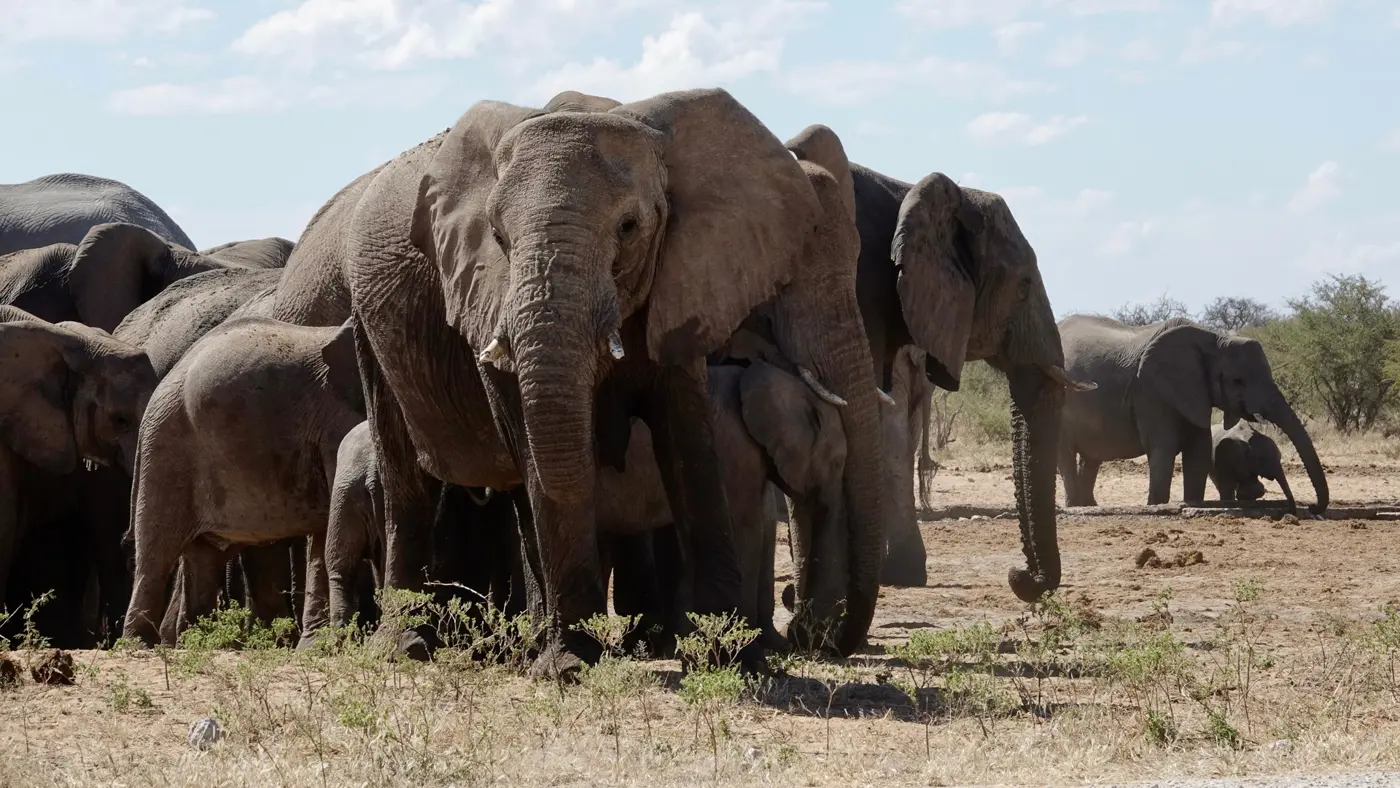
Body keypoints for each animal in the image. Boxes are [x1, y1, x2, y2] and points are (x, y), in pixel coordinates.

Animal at [122, 317, 364, 646]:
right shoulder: (335, 423)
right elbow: (330, 526)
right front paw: (319, 645)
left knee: (205, 555)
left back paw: (198, 640)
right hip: (165, 453)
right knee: (156, 553)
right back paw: (141, 644)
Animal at [273, 88, 885, 673]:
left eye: (629, 227)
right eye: (498, 236)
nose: (802, 624)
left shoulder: (682, 285)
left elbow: (688, 442)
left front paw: (739, 660)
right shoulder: (485, 295)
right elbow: (535, 444)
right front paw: (570, 664)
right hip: (369, 327)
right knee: (411, 478)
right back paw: (415, 648)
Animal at [1057, 316, 1327, 512]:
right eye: (1238, 381)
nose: (1313, 508)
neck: (1214, 338)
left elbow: (1199, 451)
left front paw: (1193, 504)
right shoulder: (1151, 391)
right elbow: (1163, 449)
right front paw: (1157, 506)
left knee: (1091, 456)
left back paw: (1088, 506)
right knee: (1066, 453)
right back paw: (1076, 506)